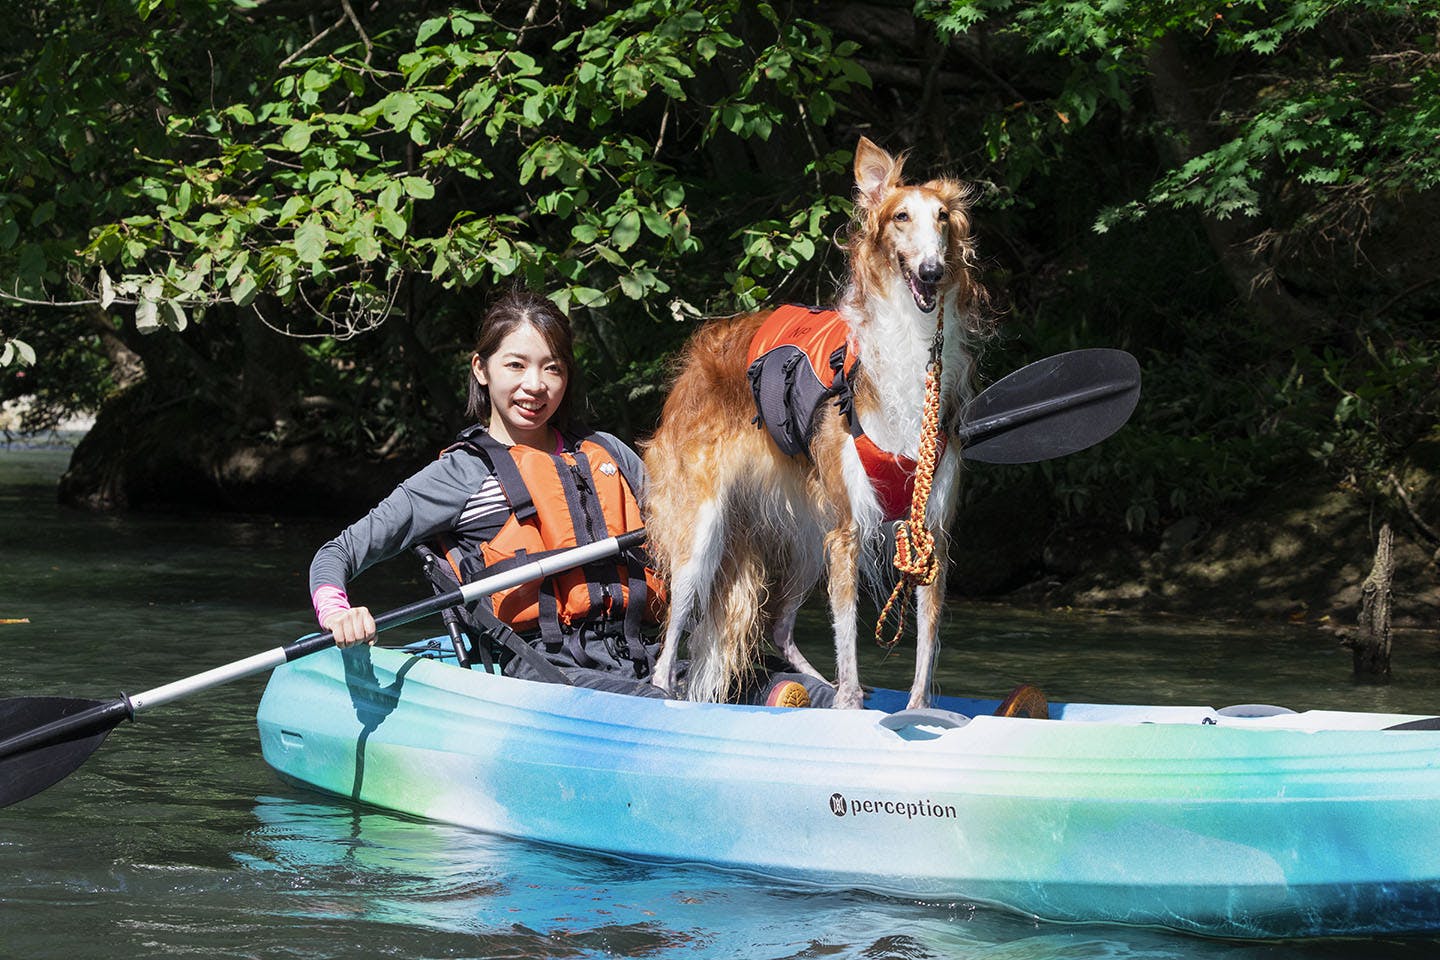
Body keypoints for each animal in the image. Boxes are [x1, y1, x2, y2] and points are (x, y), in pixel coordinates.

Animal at [645, 136, 990, 705]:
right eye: (900, 217)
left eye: (943, 218)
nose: (932, 272)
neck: (905, 351)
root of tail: (695, 357)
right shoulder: (847, 530)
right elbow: (847, 635)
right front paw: (850, 705)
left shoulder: (930, 535)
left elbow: (924, 645)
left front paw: (916, 708)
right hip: (703, 532)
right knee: (673, 632)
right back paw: (663, 688)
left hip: (807, 537)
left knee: (779, 626)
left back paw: (814, 684)